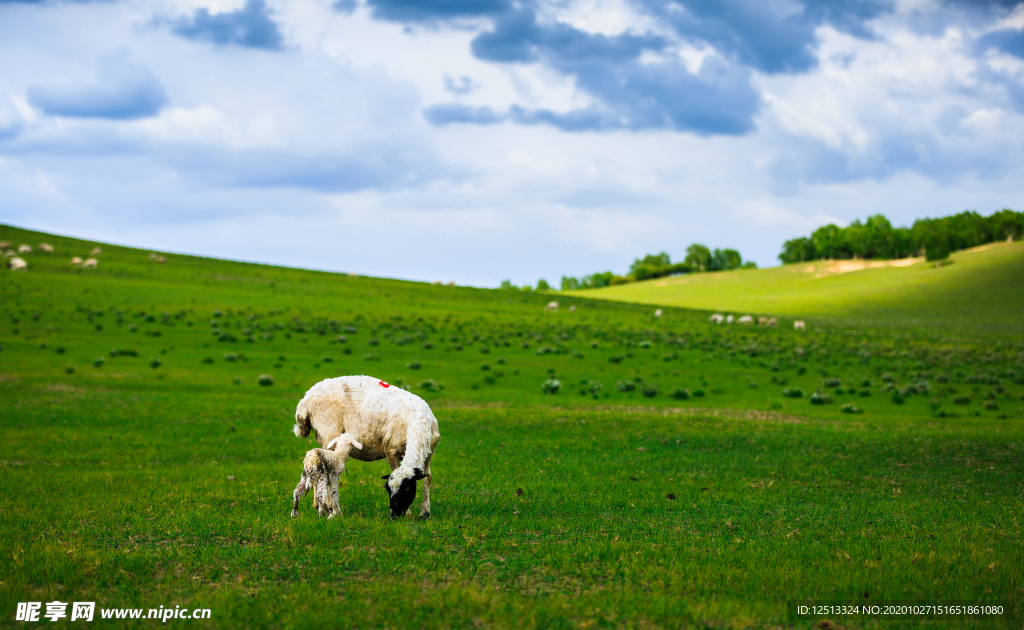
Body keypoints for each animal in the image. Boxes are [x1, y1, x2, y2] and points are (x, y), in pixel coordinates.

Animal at [292, 376, 444, 520]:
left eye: (407, 488)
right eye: (388, 489)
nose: (393, 515)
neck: (418, 422)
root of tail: (304, 400)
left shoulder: (429, 452)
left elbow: (427, 478)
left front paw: (425, 512)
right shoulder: (391, 451)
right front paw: (409, 513)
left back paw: (317, 505)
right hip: (328, 433)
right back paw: (327, 506)